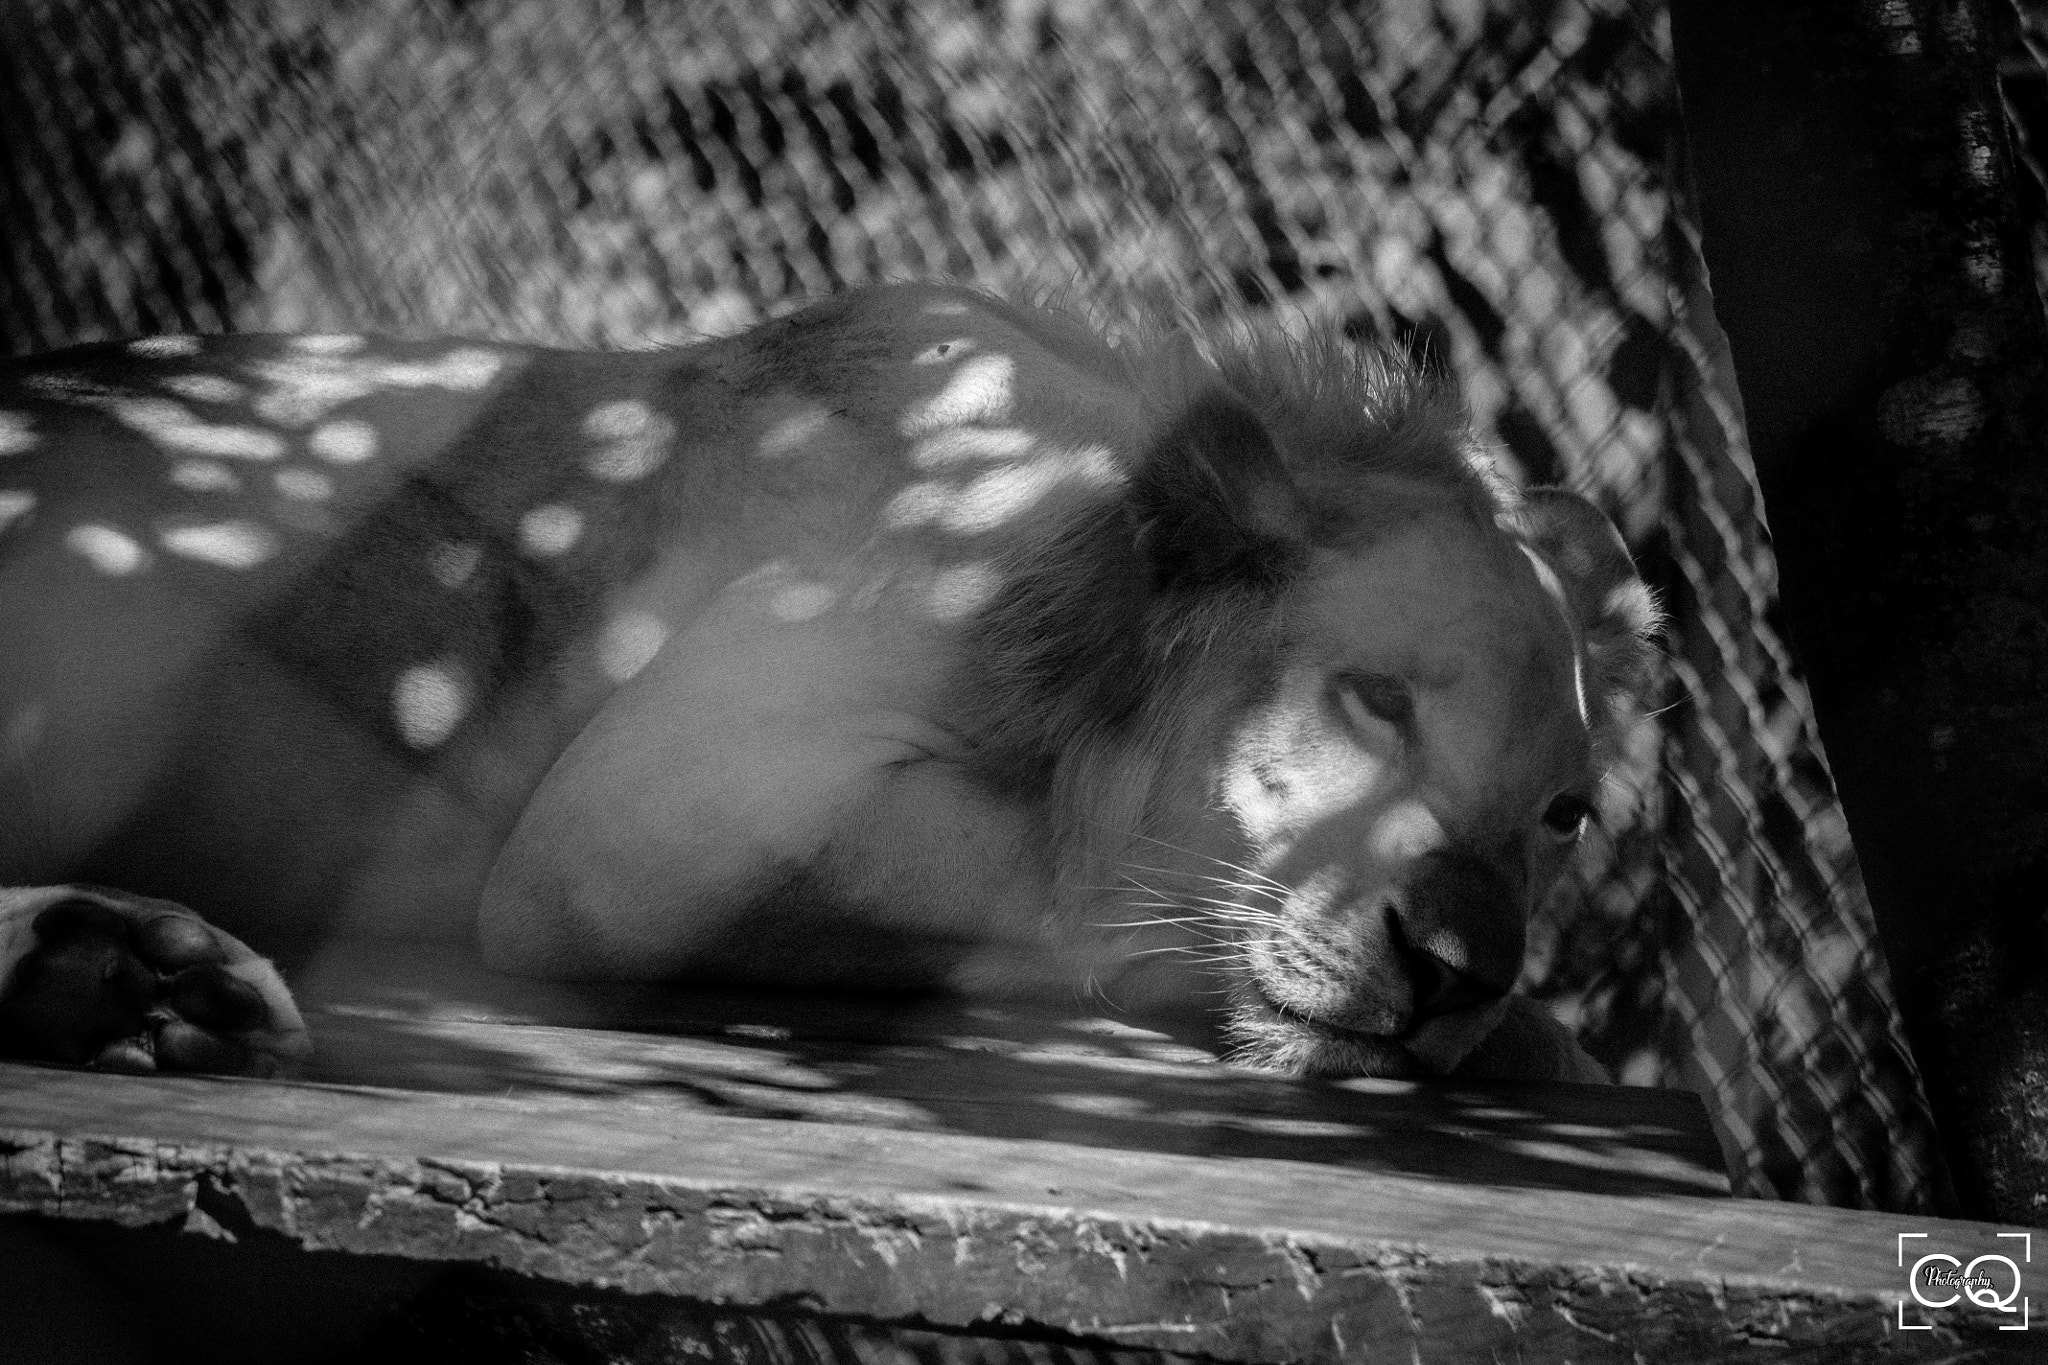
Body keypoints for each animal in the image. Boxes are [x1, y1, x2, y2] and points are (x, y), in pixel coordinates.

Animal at [0, 284, 1657, 1085]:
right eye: (1377, 698)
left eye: (1565, 815)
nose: (1461, 966)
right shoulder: (639, 824)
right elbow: (1066, 883)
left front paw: (1520, 1029)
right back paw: (123, 971)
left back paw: (124, 982)